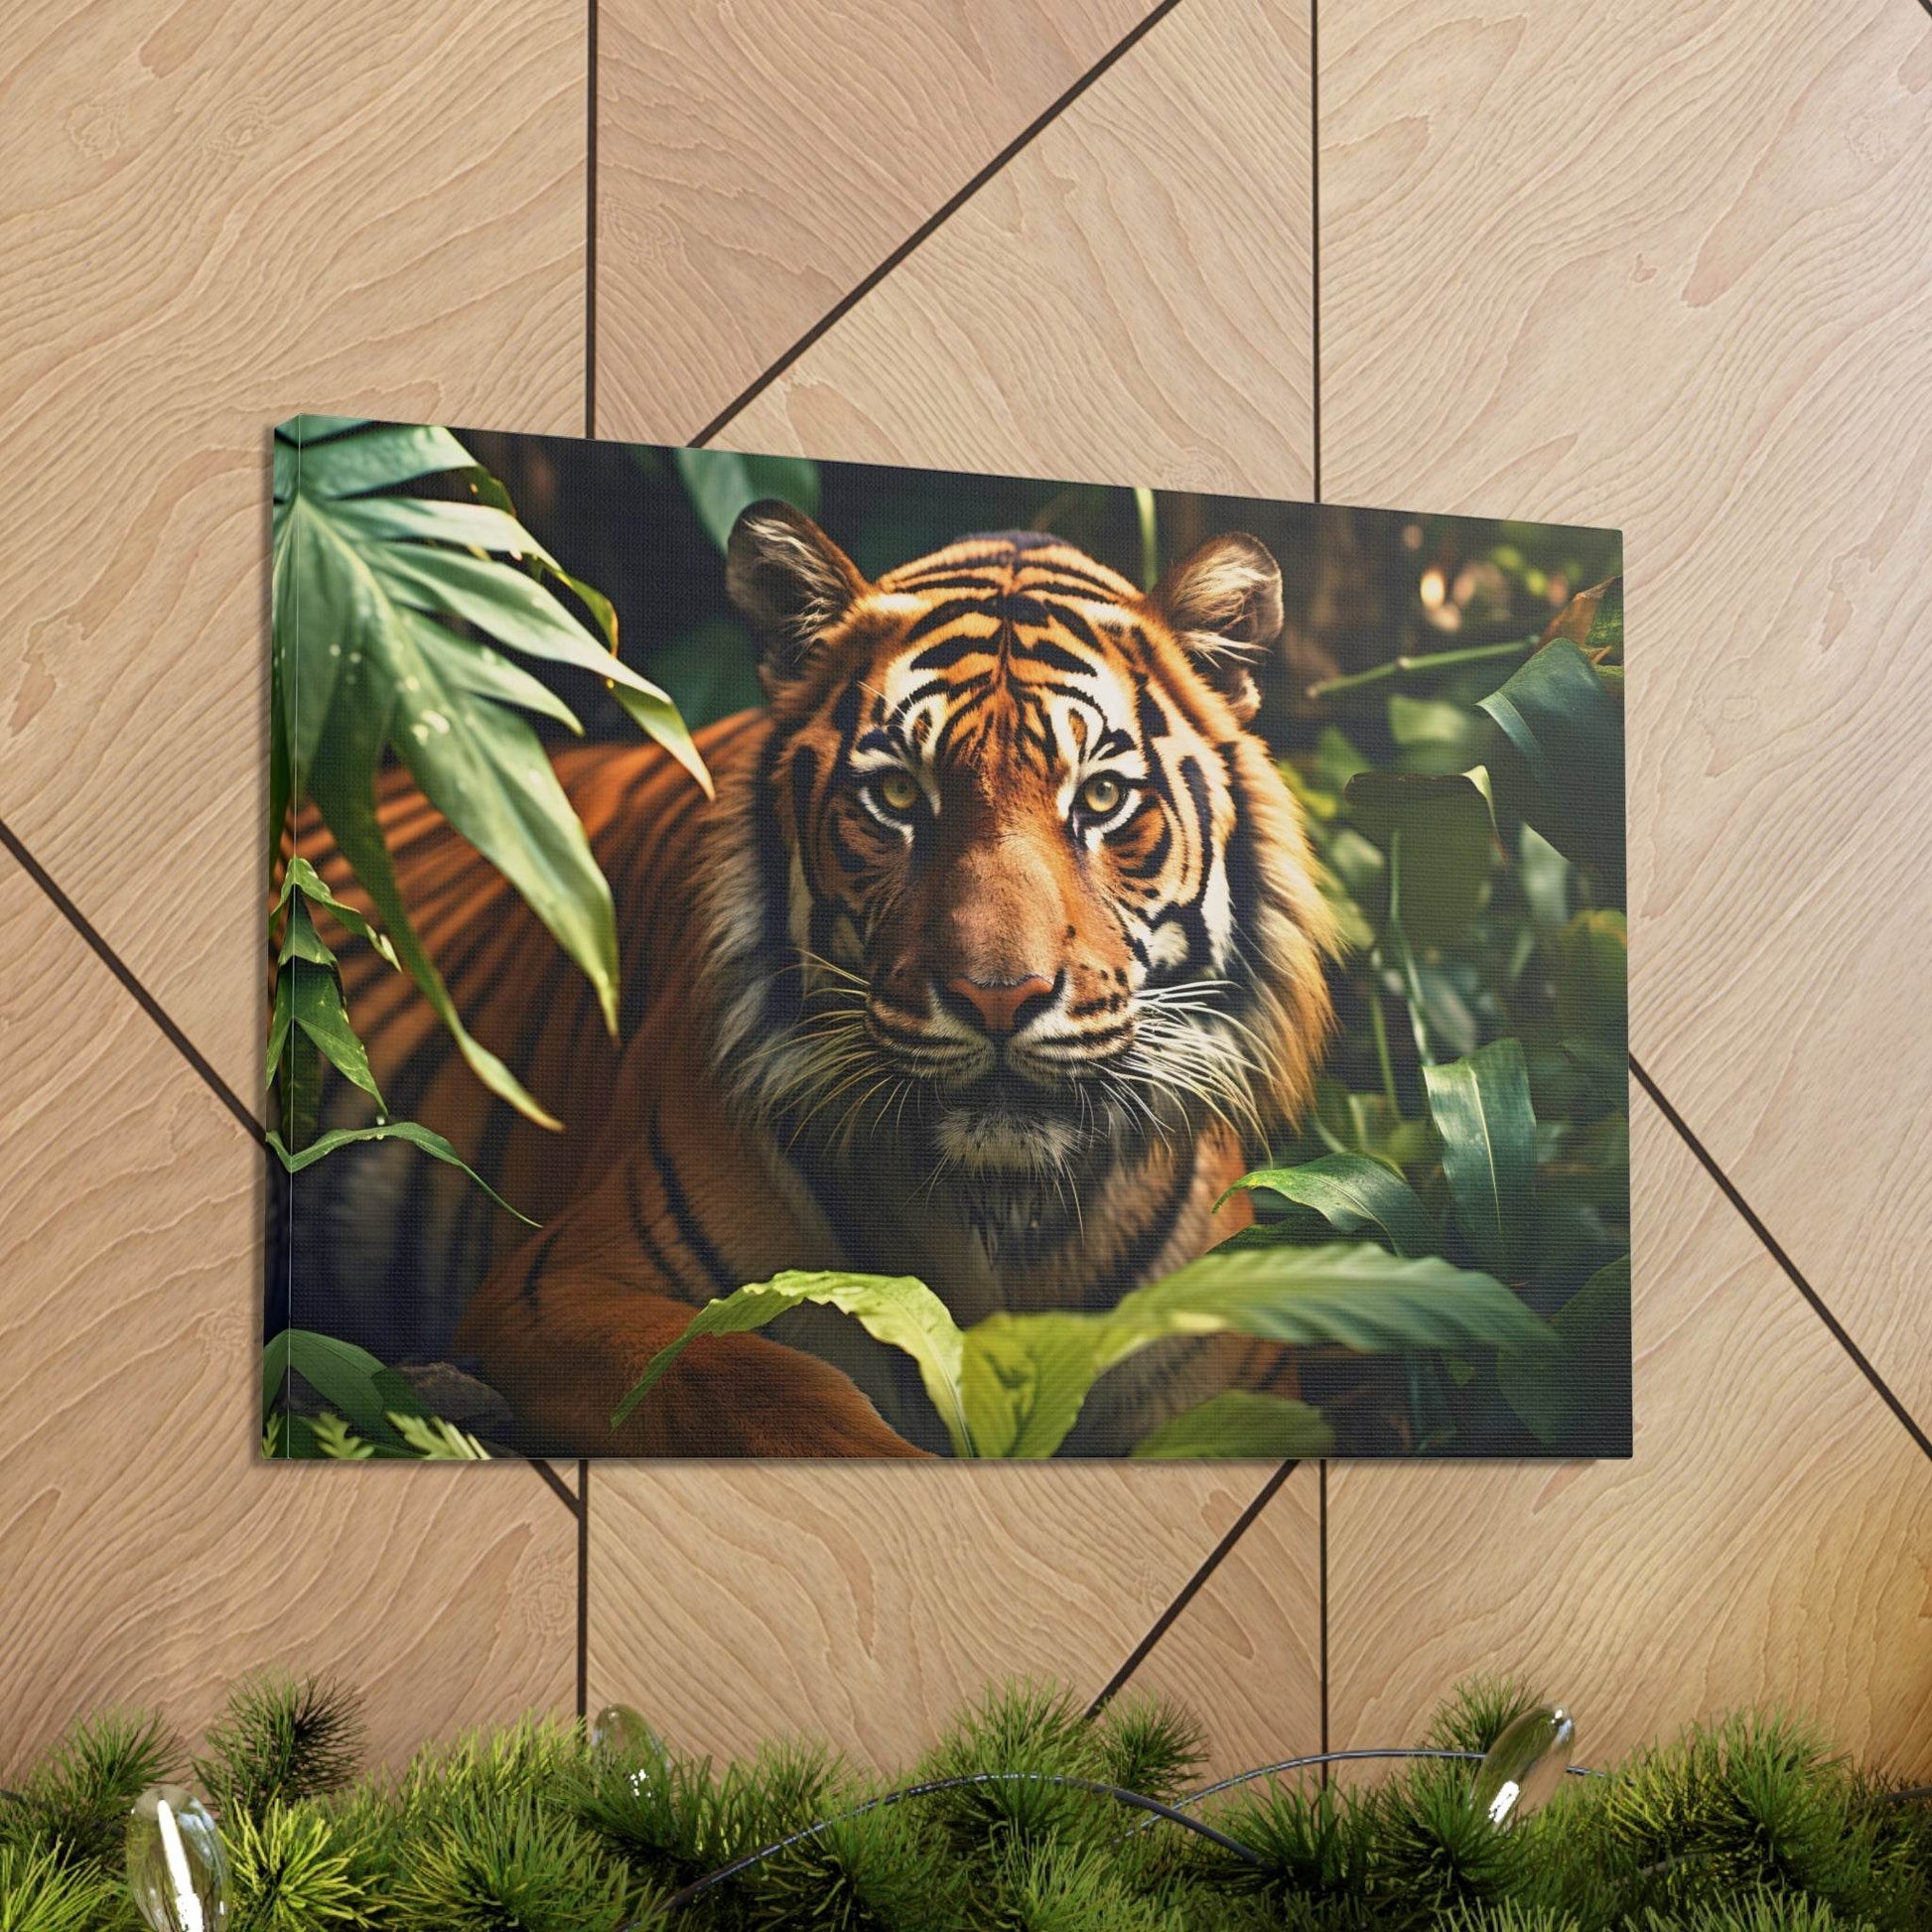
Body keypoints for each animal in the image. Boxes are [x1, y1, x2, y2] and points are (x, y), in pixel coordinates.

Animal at [282, 503, 1340, 1456]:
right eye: (900, 796)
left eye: (1105, 798)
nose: (999, 997)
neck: (1001, 1217)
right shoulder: (559, 1288)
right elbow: (762, 1383)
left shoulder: (1239, 1385)